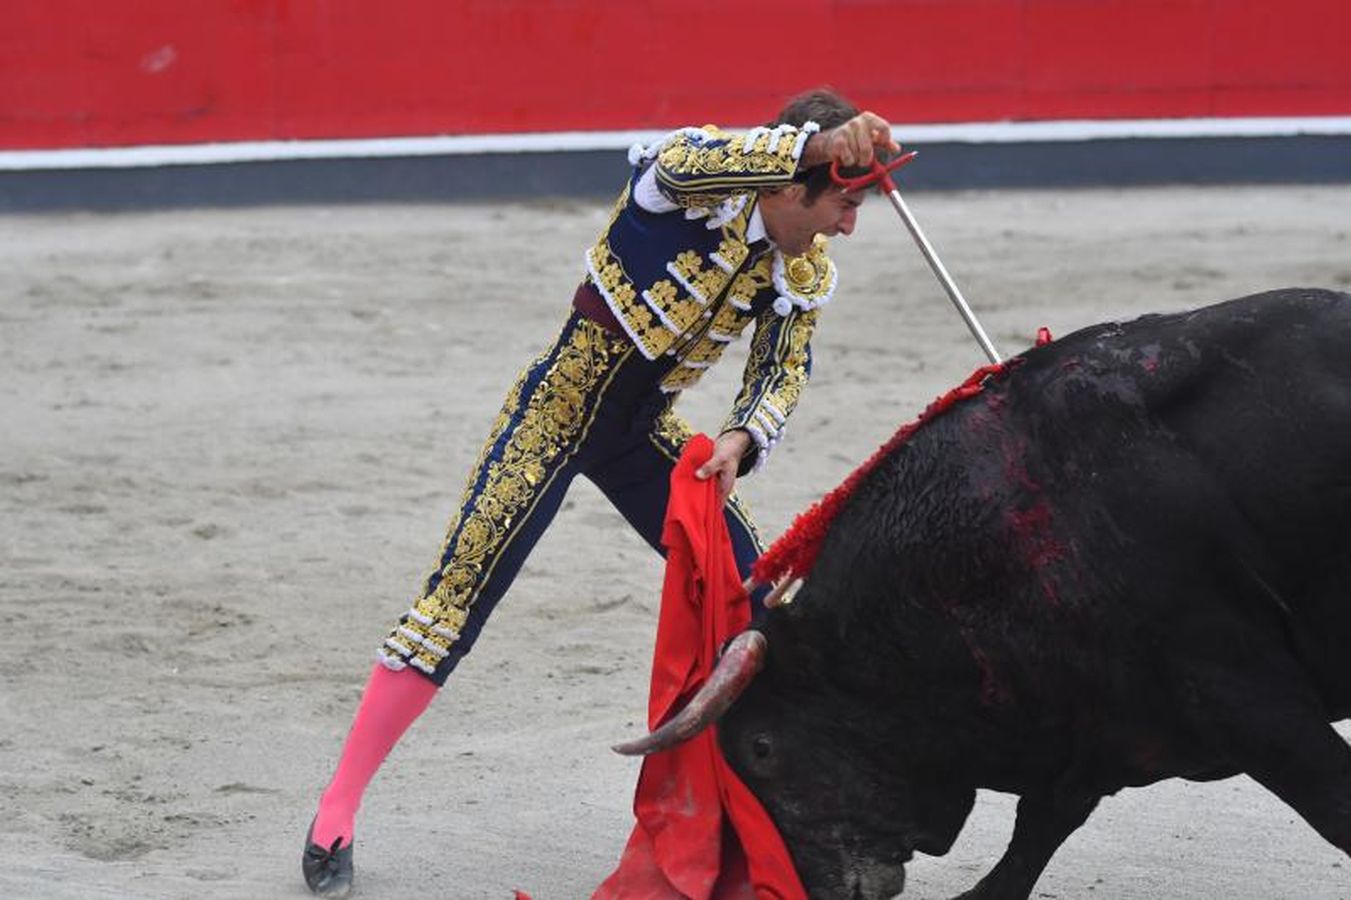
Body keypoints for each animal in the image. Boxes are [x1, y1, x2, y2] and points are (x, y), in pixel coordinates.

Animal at [618, 289, 1351, 897]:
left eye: (762, 750)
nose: (820, 888)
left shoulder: (1238, 691)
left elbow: (1335, 804)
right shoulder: (1106, 716)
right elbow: (1043, 823)